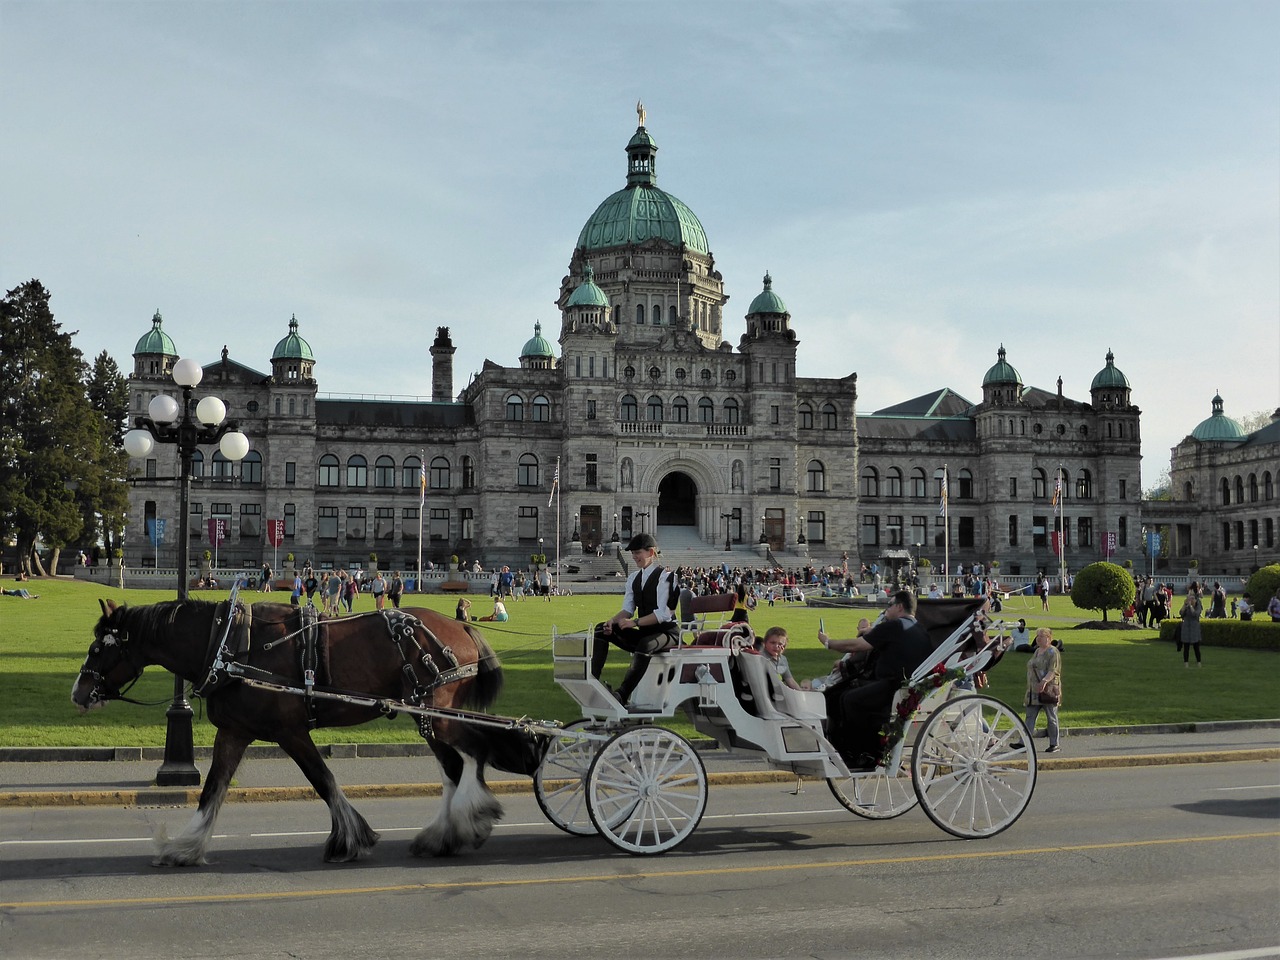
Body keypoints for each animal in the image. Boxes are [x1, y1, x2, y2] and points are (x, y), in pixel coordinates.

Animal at [73, 601, 545, 865]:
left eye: (98, 648)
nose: (78, 692)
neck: (229, 646)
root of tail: (461, 625)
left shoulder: (291, 730)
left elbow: (323, 780)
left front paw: (349, 839)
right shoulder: (235, 732)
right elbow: (213, 790)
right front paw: (186, 847)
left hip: (437, 712)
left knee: (473, 754)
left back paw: (470, 819)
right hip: (426, 715)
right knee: (455, 765)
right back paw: (444, 835)